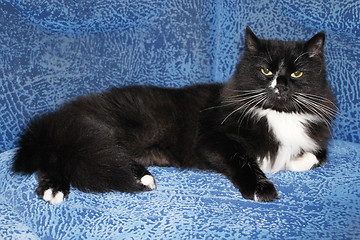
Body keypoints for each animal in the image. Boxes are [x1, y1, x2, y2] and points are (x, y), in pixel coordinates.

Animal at [12, 27, 336, 204]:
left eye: (297, 73)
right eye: (265, 70)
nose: (280, 85)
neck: (276, 114)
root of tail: (61, 114)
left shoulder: (315, 137)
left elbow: (317, 155)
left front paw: (291, 162)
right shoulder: (213, 137)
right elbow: (243, 159)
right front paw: (261, 188)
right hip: (96, 133)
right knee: (60, 156)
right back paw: (55, 188)